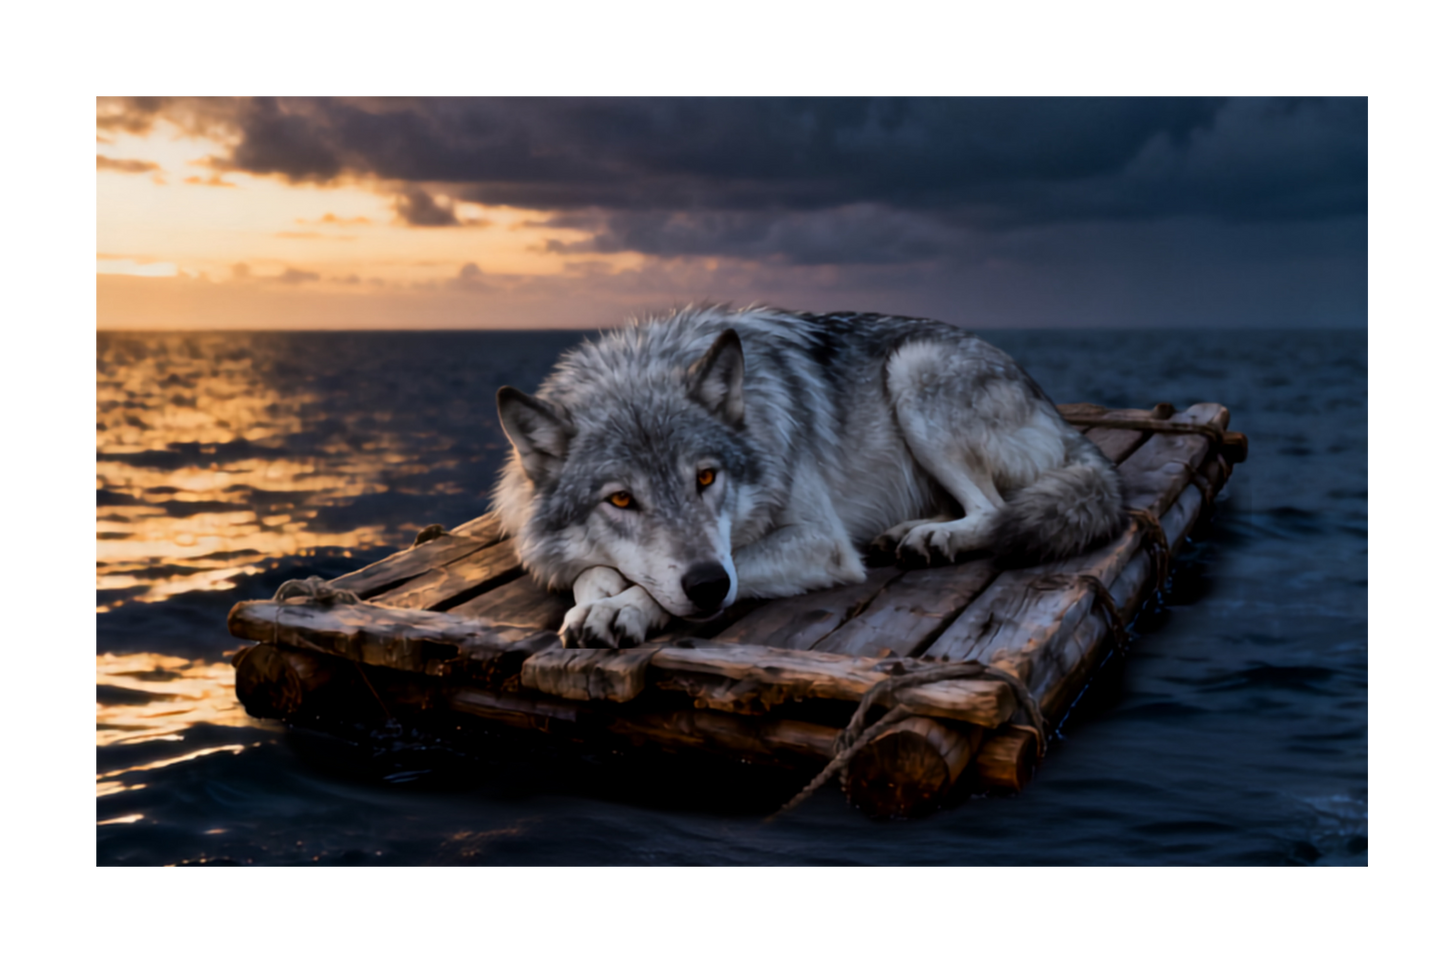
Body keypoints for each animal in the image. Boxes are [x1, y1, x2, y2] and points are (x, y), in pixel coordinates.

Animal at [493, 307, 1126, 648]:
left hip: (913, 370)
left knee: (994, 510)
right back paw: (914, 532)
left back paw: (935, 538)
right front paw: (600, 600)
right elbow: (590, 573)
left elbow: (693, 577)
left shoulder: (821, 541)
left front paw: (623, 608)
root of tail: (1056, 412)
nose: (707, 585)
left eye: (706, 478)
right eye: (621, 500)